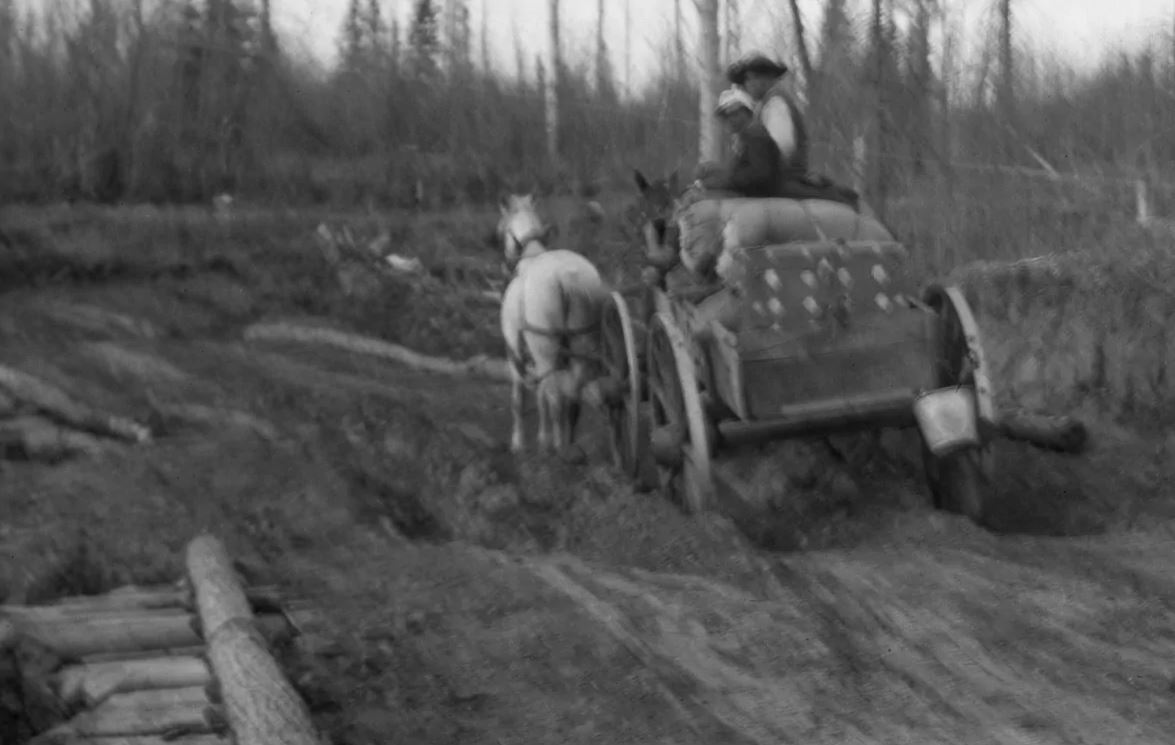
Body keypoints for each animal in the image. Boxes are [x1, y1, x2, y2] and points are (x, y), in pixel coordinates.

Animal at [493, 191, 606, 455]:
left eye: (502, 229)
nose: (506, 264)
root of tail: (566, 278)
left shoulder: (514, 349)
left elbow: (521, 397)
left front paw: (520, 442)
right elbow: (543, 395)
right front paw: (543, 438)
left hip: (545, 347)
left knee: (554, 395)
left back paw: (556, 446)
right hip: (582, 342)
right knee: (572, 396)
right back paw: (569, 444)